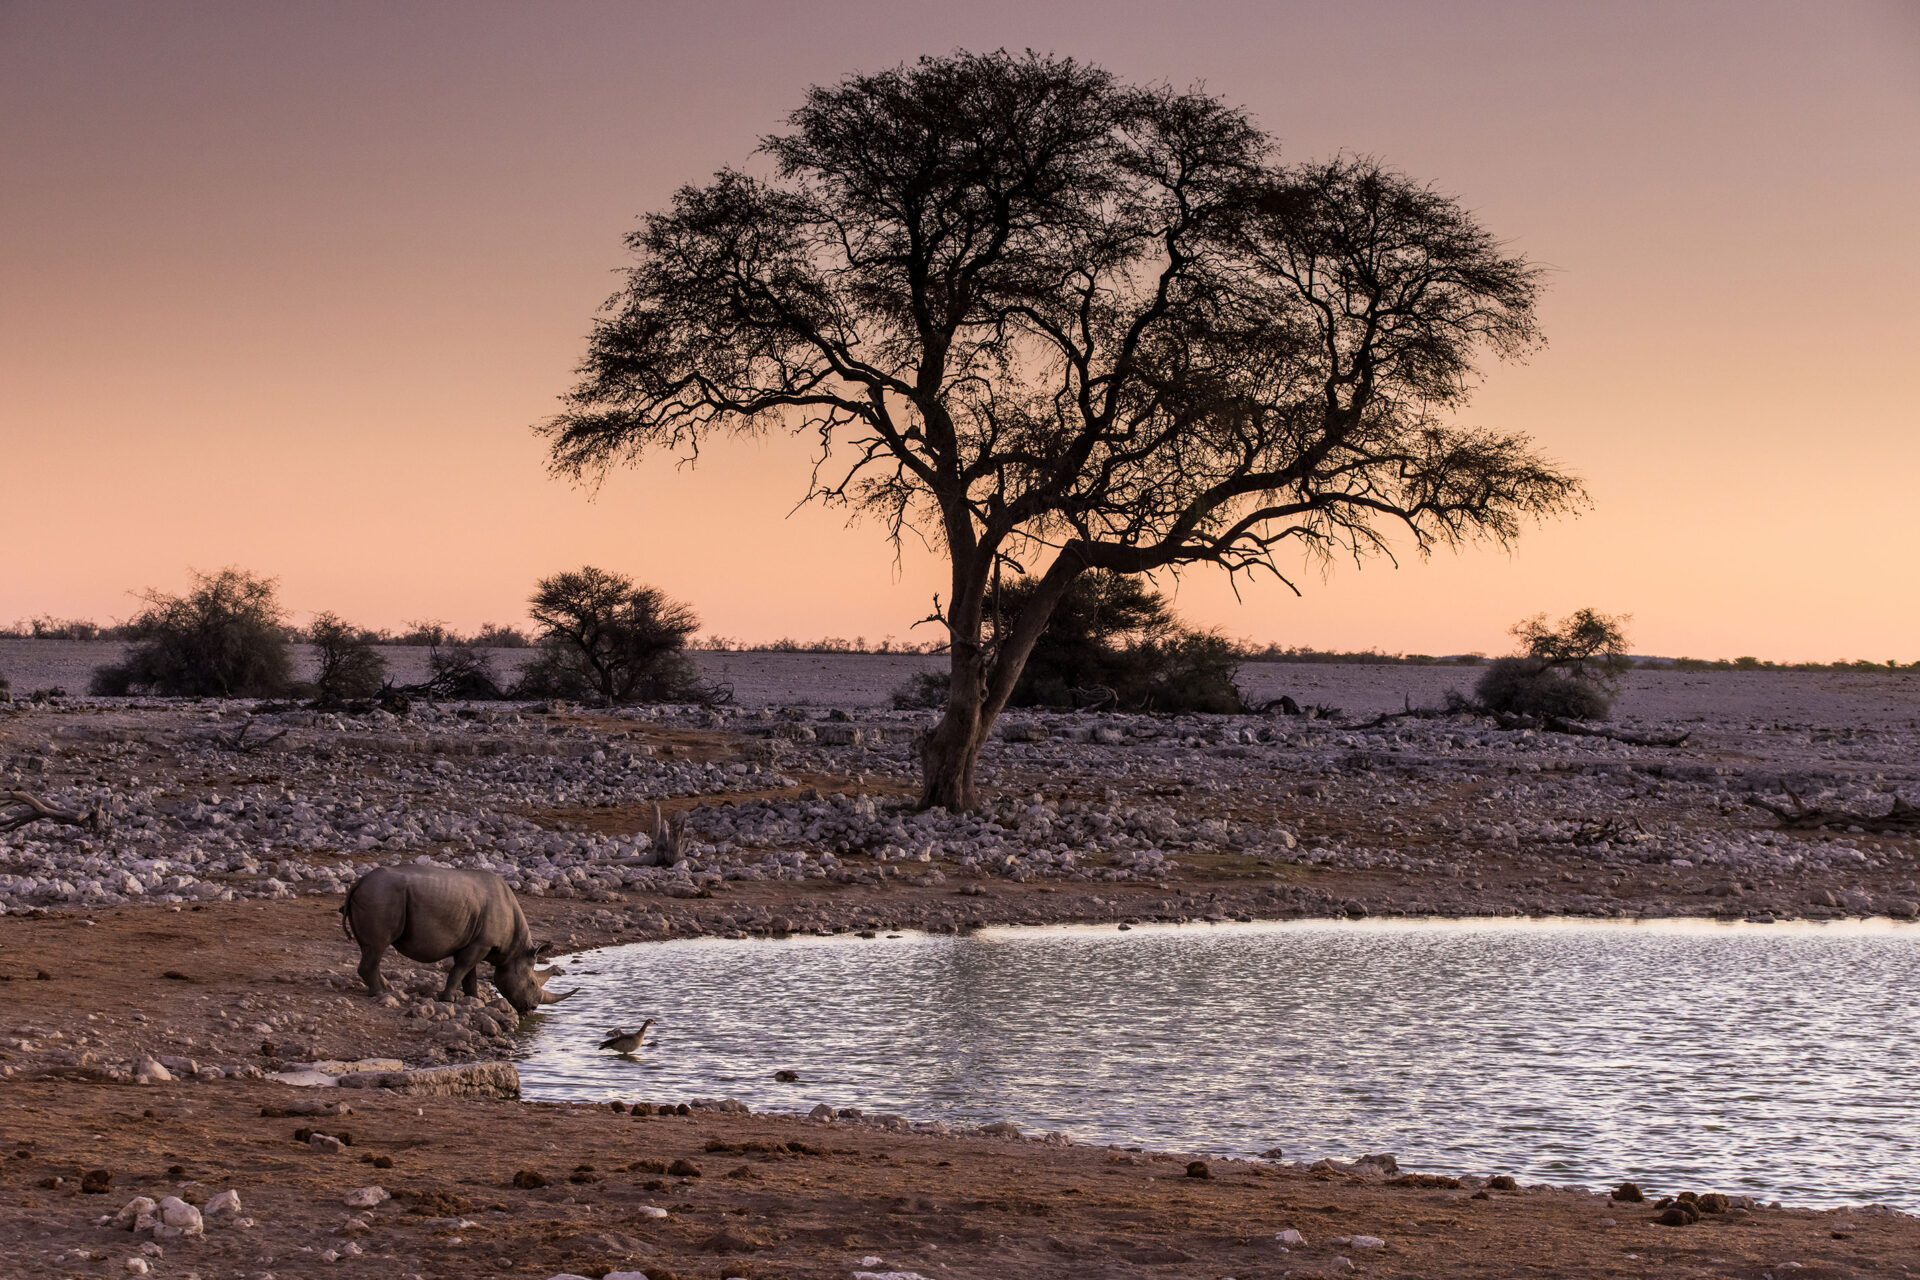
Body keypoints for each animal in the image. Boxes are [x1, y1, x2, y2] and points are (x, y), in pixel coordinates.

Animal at [340, 864, 572, 1013]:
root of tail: (359, 882)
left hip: (377, 894)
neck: (514, 950)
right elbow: (460, 969)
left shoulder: (476, 943)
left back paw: (388, 989)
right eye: (532, 983)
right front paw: (448, 999)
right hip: (381, 895)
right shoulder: (481, 943)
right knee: (377, 947)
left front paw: (473, 999)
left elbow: (469, 974)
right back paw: (381, 994)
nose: (531, 1009)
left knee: (370, 949)